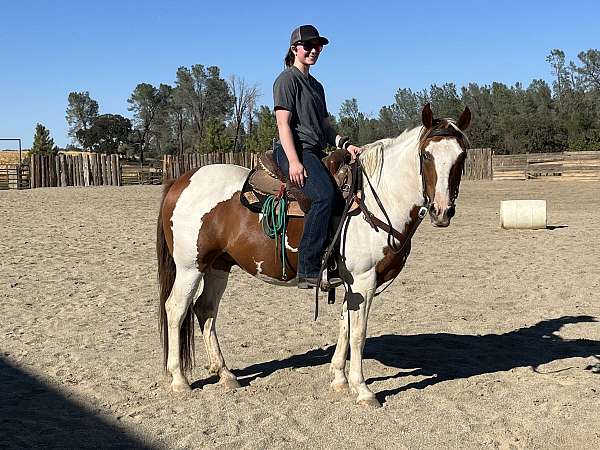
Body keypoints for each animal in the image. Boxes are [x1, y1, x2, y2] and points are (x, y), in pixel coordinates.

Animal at [157, 103, 472, 406]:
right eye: (426, 155)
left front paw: (340, 379)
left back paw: (225, 374)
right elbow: (359, 334)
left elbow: (345, 325)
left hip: (218, 266)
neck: (375, 199)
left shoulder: (352, 284)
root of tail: (181, 181)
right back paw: (179, 380)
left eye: (461, 157)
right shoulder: (363, 280)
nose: (442, 211)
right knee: (176, 309)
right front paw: (362, 389)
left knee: (205, 310)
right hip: (190, 267)